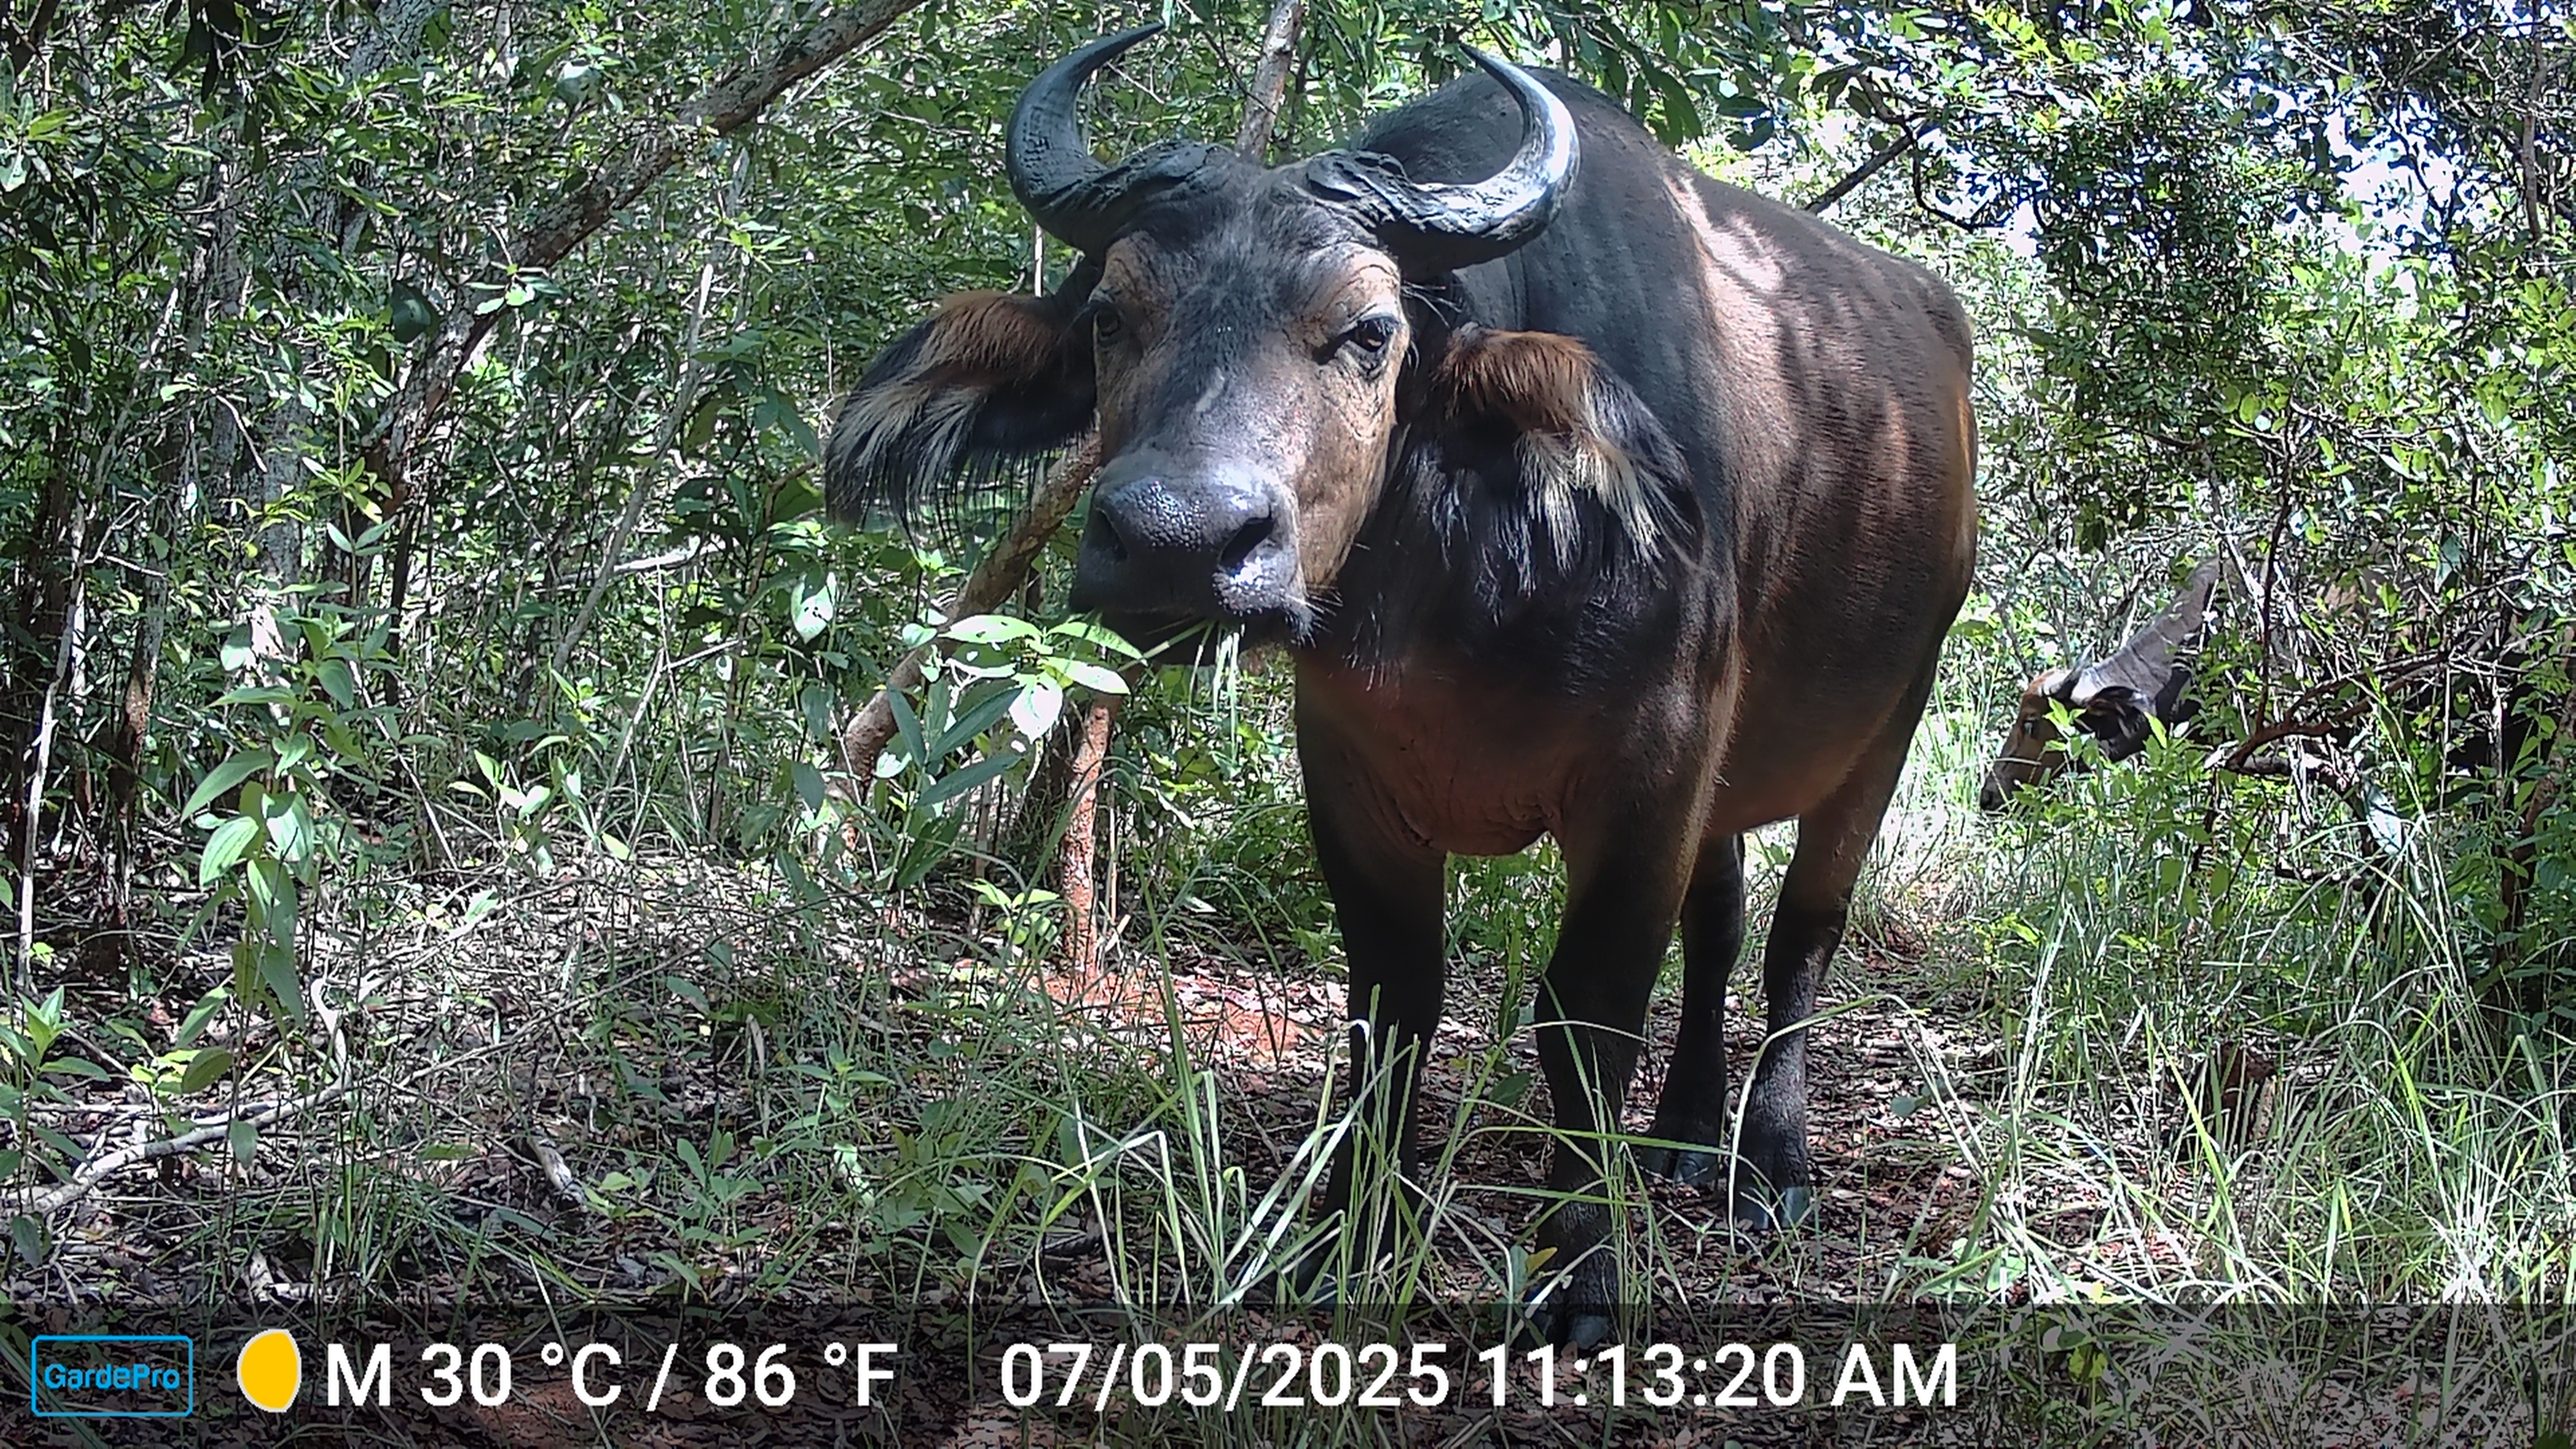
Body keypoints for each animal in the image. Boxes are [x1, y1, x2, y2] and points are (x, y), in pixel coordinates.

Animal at [827, 27, 1978, 1343]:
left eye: (1369, 332)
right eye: (1114, 317)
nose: (1175, 540)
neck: (1468, 580)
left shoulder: (1653, 764)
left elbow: (1587, 1014)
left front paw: (1582, 1271)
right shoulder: (1355, 776)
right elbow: (1395, 1003)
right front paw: (1352, 1232)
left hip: (1889, 724)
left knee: (1802, 939)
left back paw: (1770, 1161)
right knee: (1723, 924)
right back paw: (1685, 1137)